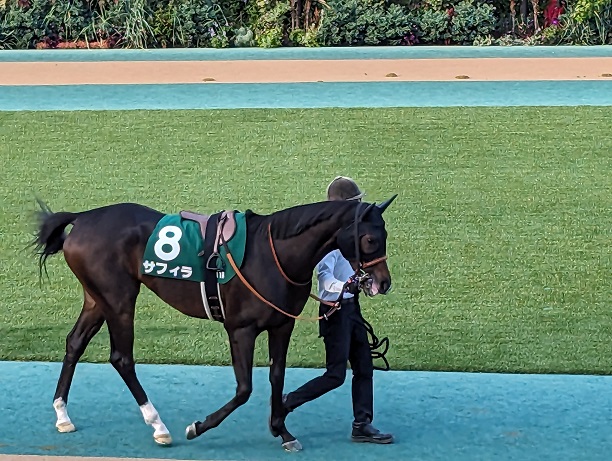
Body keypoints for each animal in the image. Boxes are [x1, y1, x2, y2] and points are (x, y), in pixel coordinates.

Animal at [32, 194, 396, 451]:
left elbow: (277, 378)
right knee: (121, 358)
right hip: (119, 299)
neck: (274, 255)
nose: (383, 282)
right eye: (369, 240)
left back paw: (62, 415)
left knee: (74, 343)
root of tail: (83, 218)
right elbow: (245, 388)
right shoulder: (241, 329)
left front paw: (282, 429)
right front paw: (198, 426)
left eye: (385, 234)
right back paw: (158, 426)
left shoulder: (281, 326)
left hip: (96, 298)